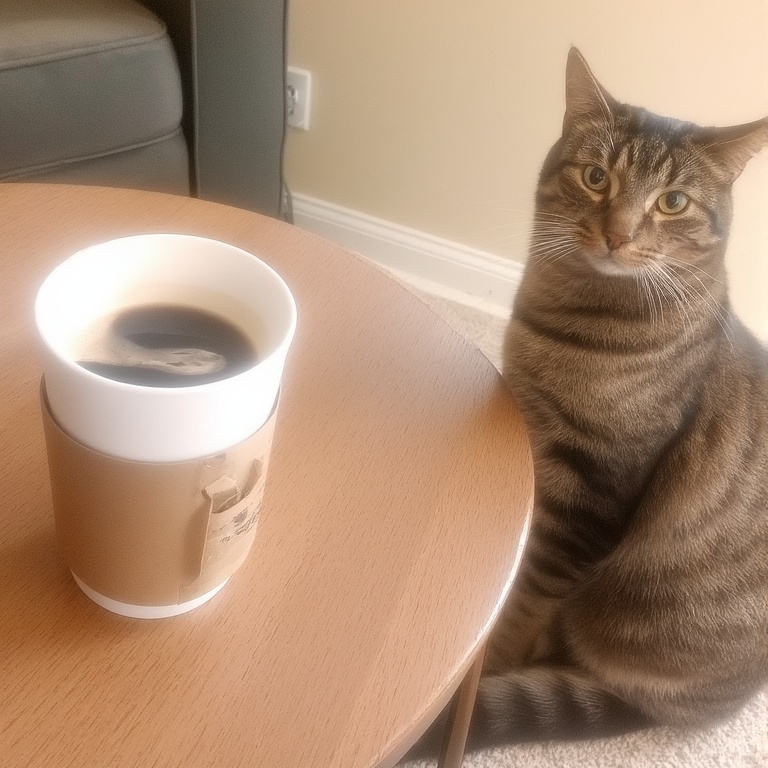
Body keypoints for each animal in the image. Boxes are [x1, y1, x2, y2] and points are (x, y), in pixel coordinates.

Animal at [402, 48, 768, 761]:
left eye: (673, 202)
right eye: (596, 177)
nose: (617, 234)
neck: (569, 322)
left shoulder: (591, 496)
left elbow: (524, 600)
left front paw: (489, 664)